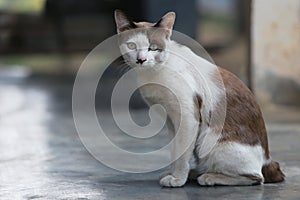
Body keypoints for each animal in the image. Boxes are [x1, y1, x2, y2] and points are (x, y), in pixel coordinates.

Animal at [113, 9, 284, 188]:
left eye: (153, 48)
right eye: (131, 46)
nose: (141, 60)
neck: (154, 71)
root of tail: (268, 160)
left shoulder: (188, 119)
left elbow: (182, 154)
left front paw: (177, 179)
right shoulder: (171, 119)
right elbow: (175, 151)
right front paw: (175, 174)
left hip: (208, 141)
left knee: (256, 177)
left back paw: (209, 177)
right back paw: (197, 173)